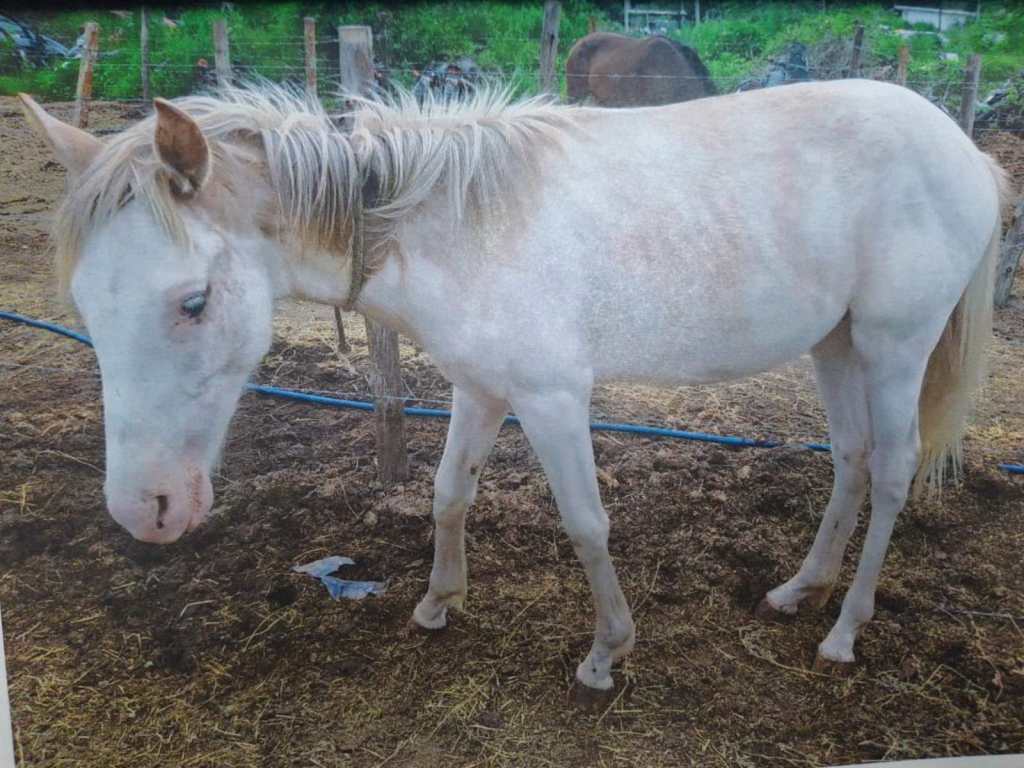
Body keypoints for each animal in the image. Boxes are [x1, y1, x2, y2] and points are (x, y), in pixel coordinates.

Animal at [19, 79, 1007, 697]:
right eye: (84, 305)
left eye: (192, 301)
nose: (145, 511)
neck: (452, 226)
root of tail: (965, 150)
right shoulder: (479, 388)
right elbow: (448, 495)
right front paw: (436, 603)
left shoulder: (553, 397)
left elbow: (586, 523)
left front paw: (607, 653)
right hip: (835, 346)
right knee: (851, 460)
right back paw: (798, 590)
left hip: (893, 344)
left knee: (893, 471)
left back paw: (844, 630)